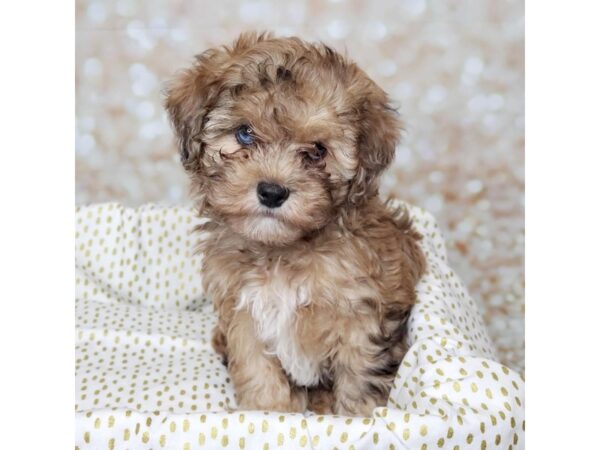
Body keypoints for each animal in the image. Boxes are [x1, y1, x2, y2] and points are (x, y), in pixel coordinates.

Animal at [165, 31, 426, 416]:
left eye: (317, 151)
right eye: (244, 134)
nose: (272, 192)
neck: (281, 252)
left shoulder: (363, 315)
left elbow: (360, 376)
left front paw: (358, 417)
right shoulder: (242, 310)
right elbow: (256, 368)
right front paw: (267, 412)